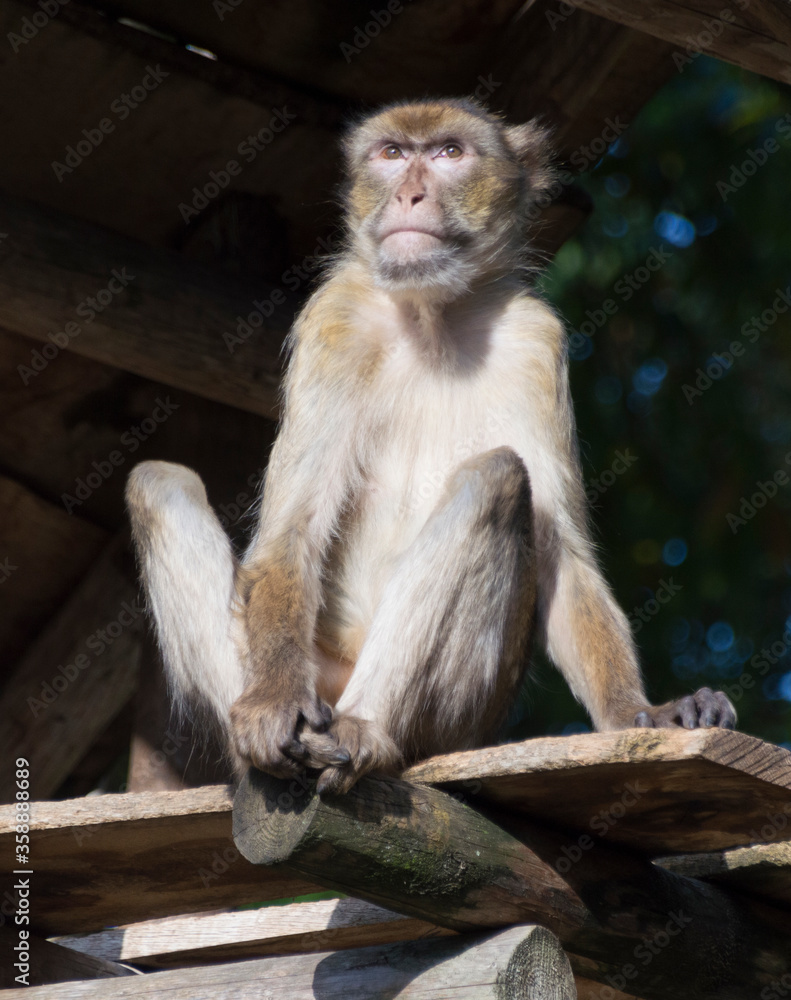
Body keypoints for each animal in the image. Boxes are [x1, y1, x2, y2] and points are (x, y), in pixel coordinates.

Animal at [126, 98, 736, 796]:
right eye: (392, 154)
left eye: (449, 153)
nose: (409, 194)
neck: (431, 315)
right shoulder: (335, 316)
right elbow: (290, 531)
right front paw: (272, 704)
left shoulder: (536, 339)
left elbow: (563, 556)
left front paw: (640, 713)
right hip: (314, 670)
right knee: (157, 482)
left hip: (458, 719)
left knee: (495, 477)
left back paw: (364, 731)